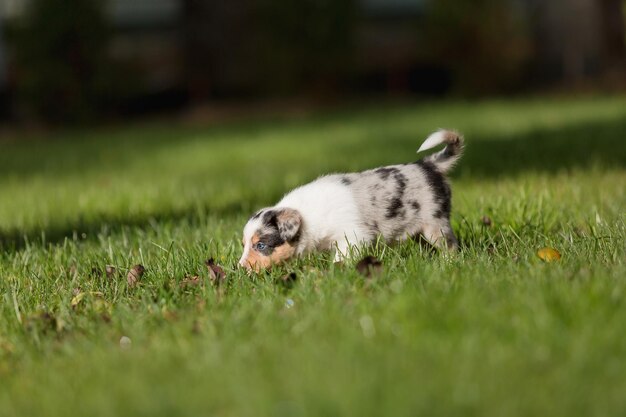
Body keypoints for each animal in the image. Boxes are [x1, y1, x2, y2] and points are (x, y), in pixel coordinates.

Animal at [239, 128, 464, 270]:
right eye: (244, 244)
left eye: (261, 246)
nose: (239, 269)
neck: (307, 218)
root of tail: (427, 165)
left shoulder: (353, 237)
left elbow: (342, 257)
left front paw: (335, 272)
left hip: (435, 223)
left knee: (451, 246)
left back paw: (448, 264)